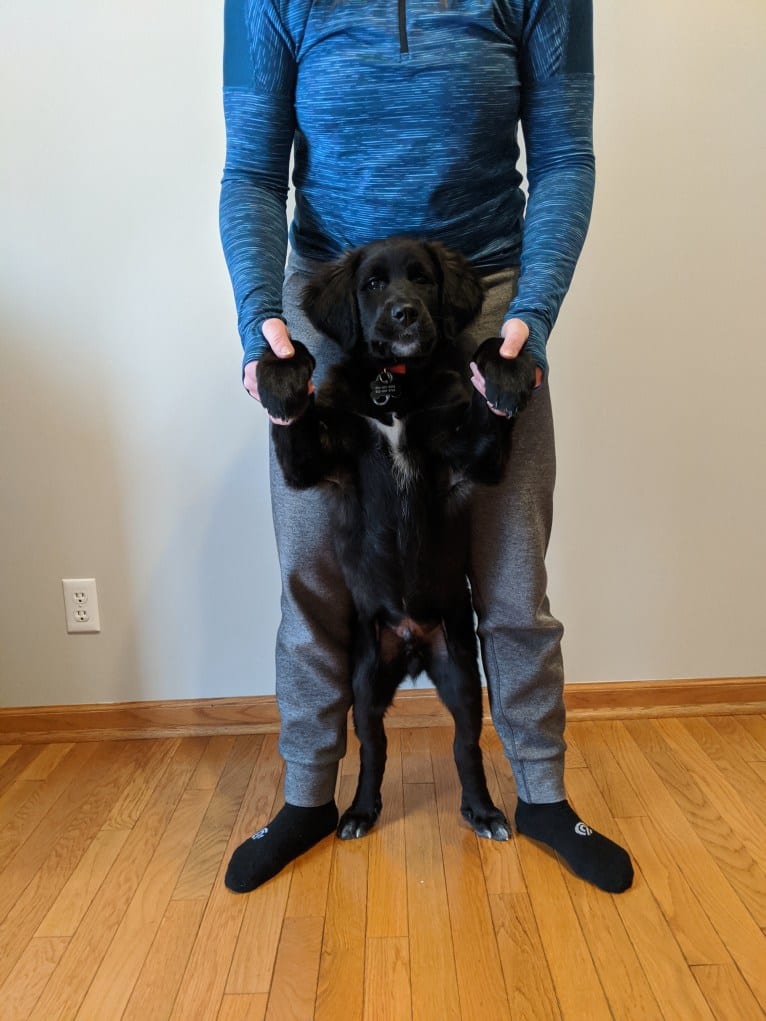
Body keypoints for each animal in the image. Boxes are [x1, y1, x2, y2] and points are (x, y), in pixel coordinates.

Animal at [258, 236, 535, 837]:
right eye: (372, 285)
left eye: (423, 279)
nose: (405, 313)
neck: (396, 383)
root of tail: (410, 643)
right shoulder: (313, 465)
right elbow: (292, 410)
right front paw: (281, 371)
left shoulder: (475, 457)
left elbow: (491, 392)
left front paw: (505, 366)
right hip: (364, 682)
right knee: (373, 749)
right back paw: (361, 810)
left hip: (460, 671)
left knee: (465, 747)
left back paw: (482, 811)